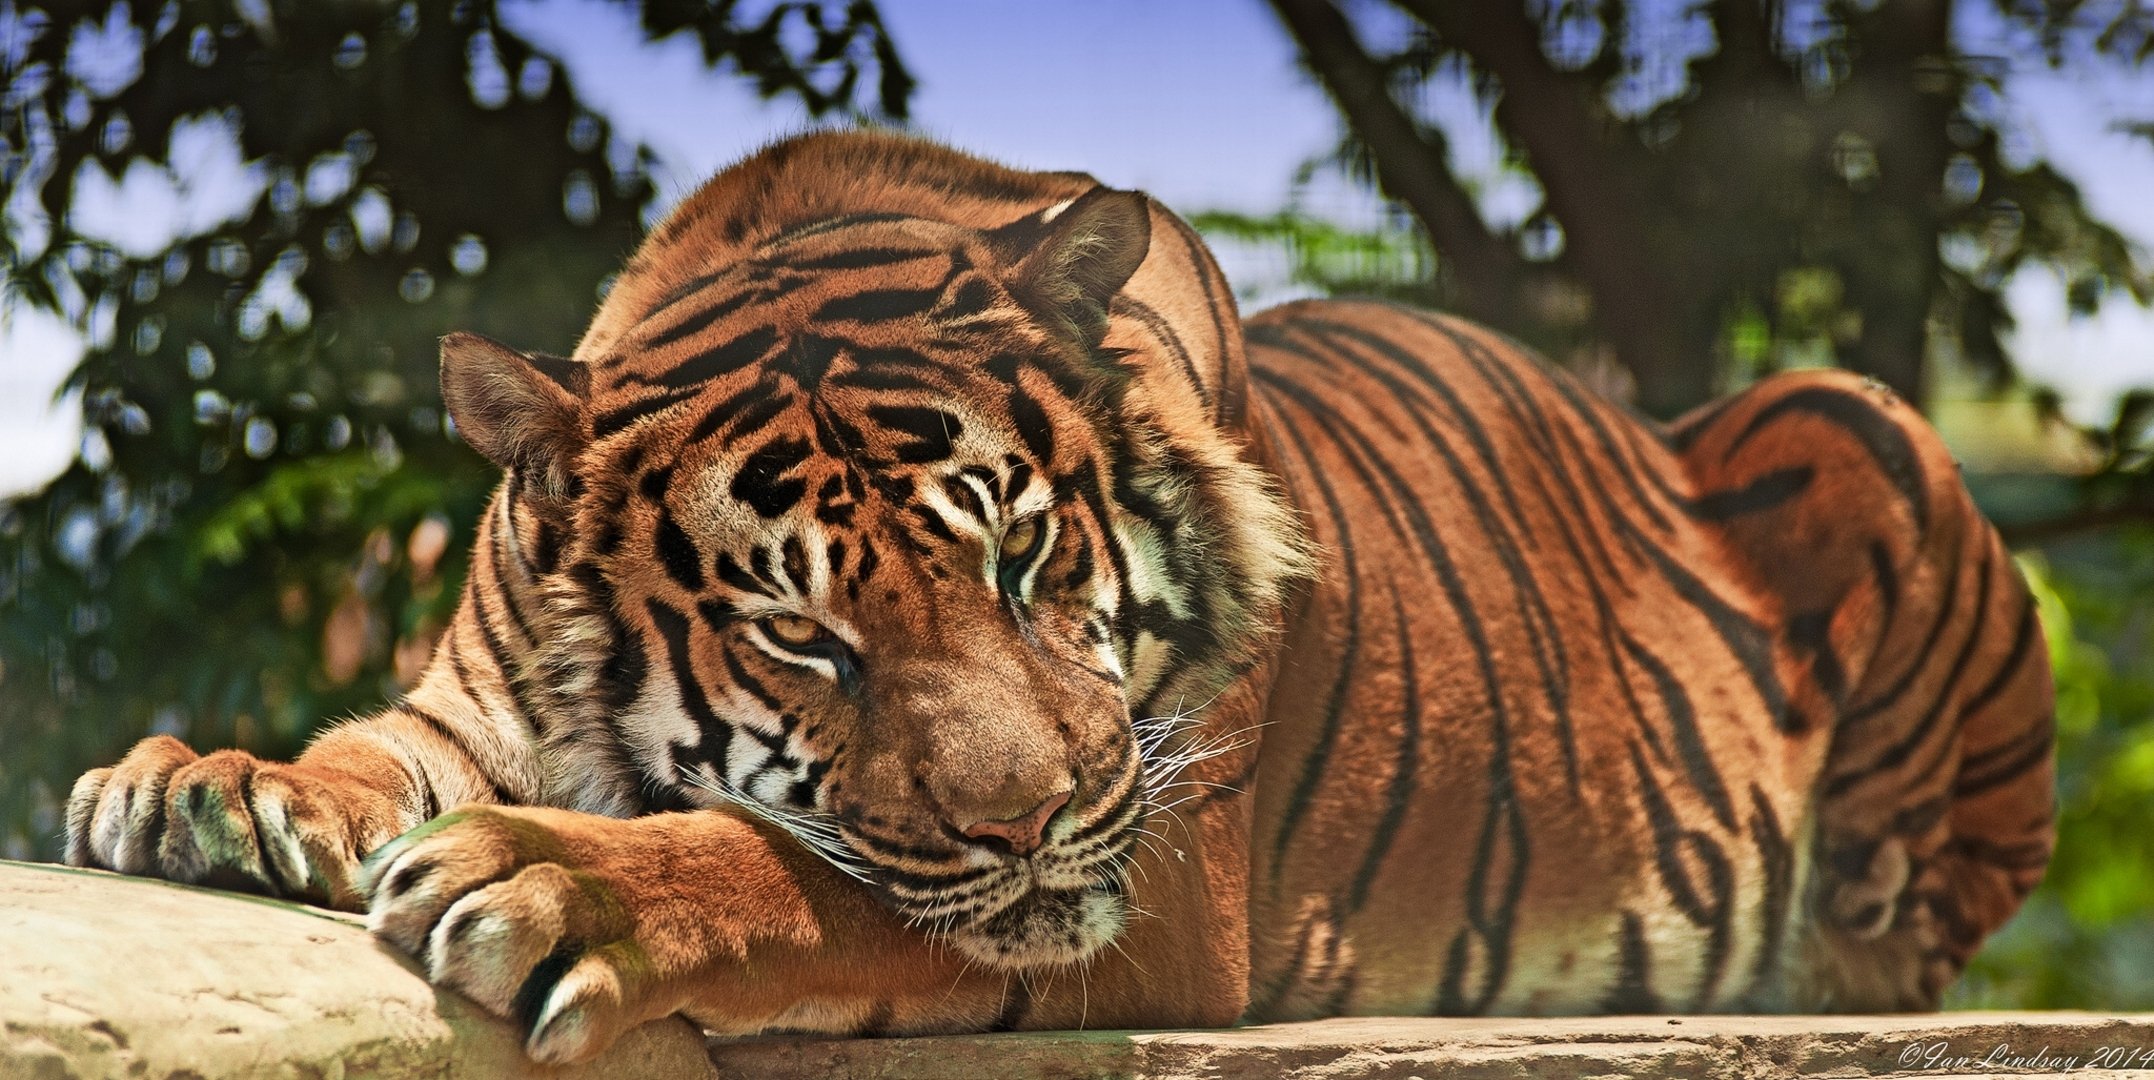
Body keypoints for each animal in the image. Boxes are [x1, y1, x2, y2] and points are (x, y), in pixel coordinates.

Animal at [63, 130, 2054, 1062]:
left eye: (1020, 560)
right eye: (799, 633)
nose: (1019, 826)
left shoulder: (1155, 871)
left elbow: (806, 876)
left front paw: (562, 887)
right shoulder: (463, 697)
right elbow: (361, 748)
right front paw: (205, 787)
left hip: (1857, 426)